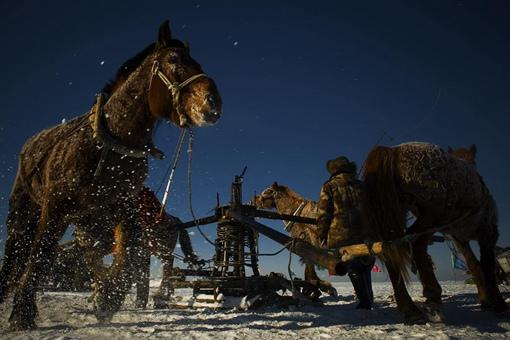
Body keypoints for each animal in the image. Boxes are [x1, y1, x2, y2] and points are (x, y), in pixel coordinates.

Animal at [0, 21, 222, 330]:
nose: (213, 102)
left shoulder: (118, 210)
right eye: (174, 60)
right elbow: (42, 254)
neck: (109, 145)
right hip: (25, 212)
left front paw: (107, 296)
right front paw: (23, 314)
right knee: (17, 253)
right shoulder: (57, 209)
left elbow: (123, 254)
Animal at [362, 142, 506, 322]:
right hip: (433, 213)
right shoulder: (488, 232)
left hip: (400, 212)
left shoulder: (460, 239)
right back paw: (431, 295)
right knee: (414, 244)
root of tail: (394, 151)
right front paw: (498, 303)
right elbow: (487, 266)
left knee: (391, 248)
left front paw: (486, 301)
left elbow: (474, 265)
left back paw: (410, 308)